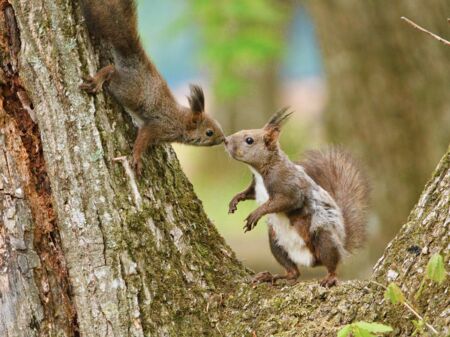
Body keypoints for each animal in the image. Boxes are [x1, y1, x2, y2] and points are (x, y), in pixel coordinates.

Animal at [79, 0, 225, 173]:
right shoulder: (159, 126)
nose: (224, 139)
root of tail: (133, 60)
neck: (181, 121)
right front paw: (136, 158)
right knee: (111, 70)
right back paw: (98, 80)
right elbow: (143, 138)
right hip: (128, 90)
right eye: (209, 132)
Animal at [225, 107, 370, 286]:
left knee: (331, 263)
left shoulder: (289, 187)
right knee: (293, 272)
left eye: (249, 140)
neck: (261, 171)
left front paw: (255, 214)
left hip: (323, 238)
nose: (225, 140)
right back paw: (271, 276)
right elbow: (247, 193)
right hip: (276, 244)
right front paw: (235, 200)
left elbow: (285, 201)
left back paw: (330, 277)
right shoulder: (255, 187)